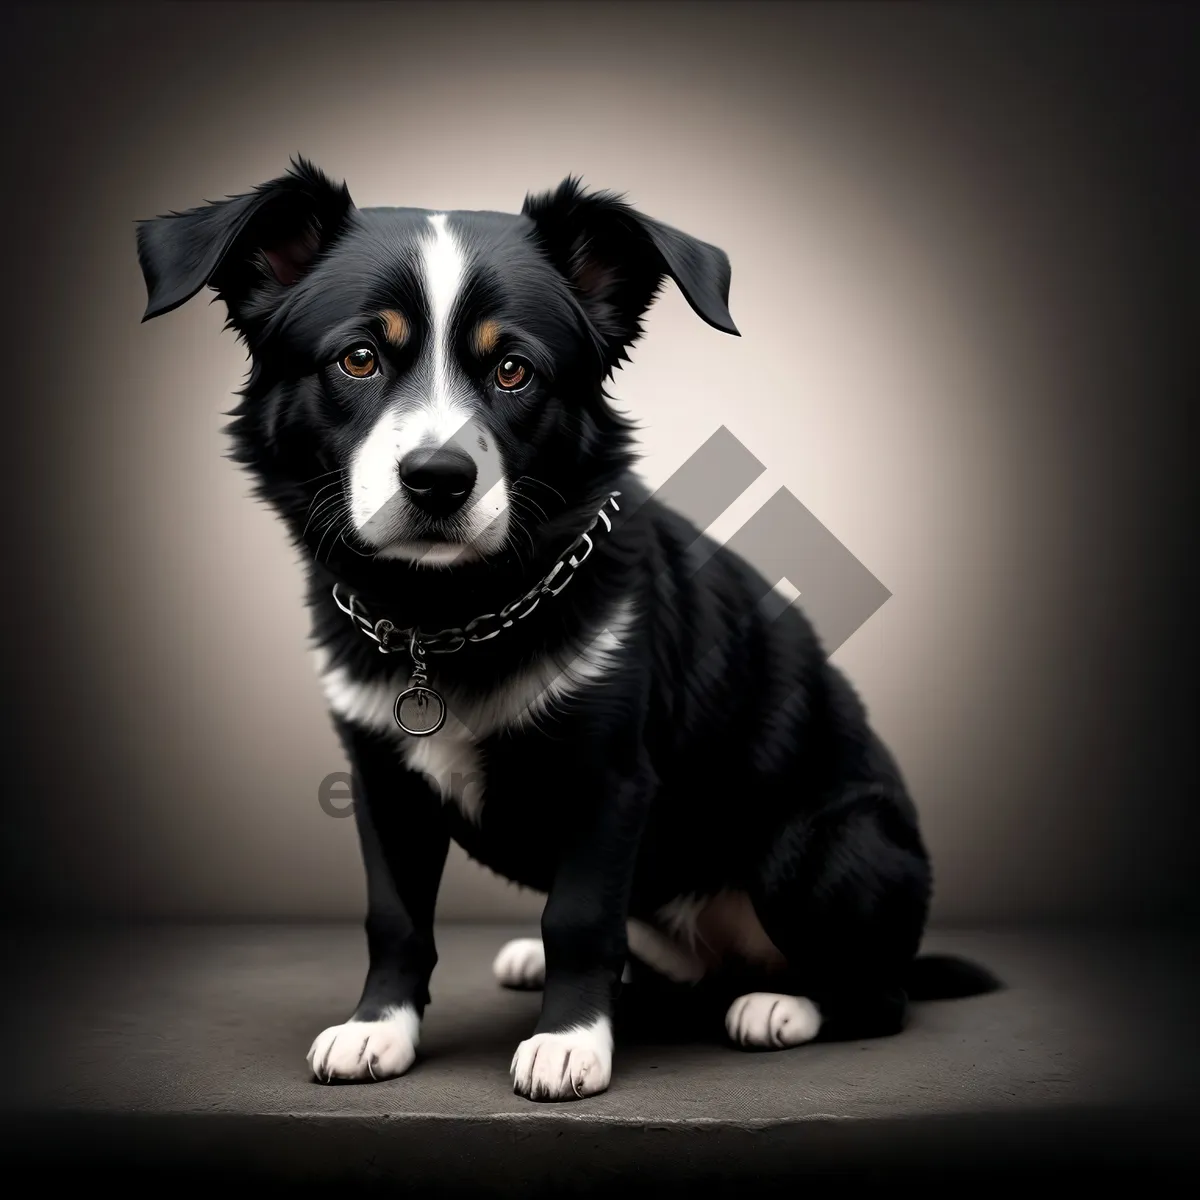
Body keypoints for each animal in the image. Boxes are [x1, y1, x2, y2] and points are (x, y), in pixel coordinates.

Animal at [136, 159, 940, 1104]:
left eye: (514, 370)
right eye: (359, 358)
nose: (438, 478)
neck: (446, 619)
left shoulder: (609, 780)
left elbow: (581, 916)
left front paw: (569, 1042)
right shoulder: (383, 784)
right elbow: (395, 916)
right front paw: (379, 1028)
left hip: (821, 847)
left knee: (877, 996)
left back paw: (781, 1006)